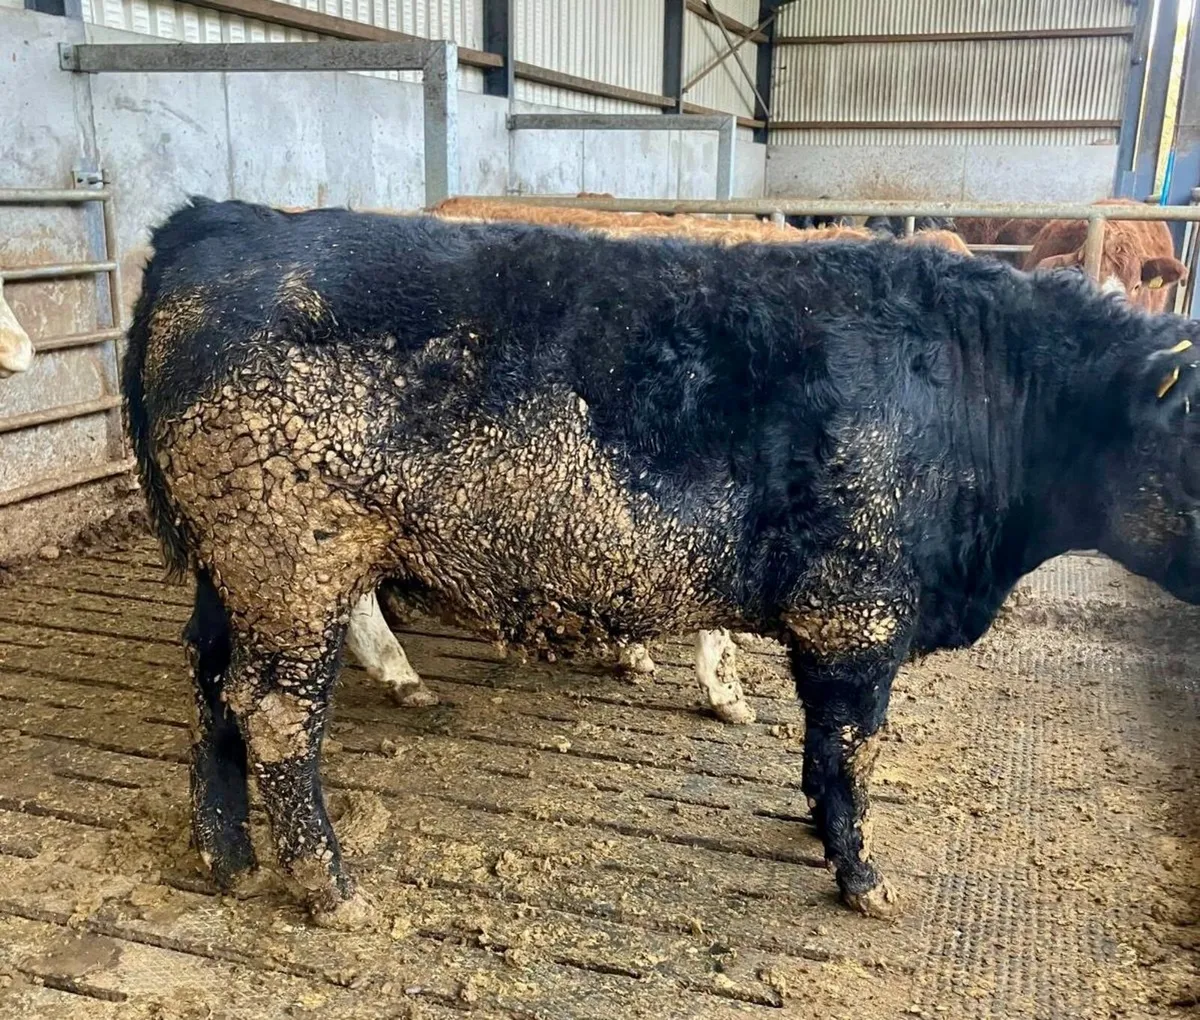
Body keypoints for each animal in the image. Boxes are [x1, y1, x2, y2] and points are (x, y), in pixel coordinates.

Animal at [127, 197, 1196, 929]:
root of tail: (222, 223)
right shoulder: (858, 613)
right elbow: (850, 751)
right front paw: (863, 876)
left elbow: (820, 752)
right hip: (294, 561)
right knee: (275, 714)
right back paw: (331, 887)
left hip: (232, 570)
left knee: (210, 687)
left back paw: (226, 856)